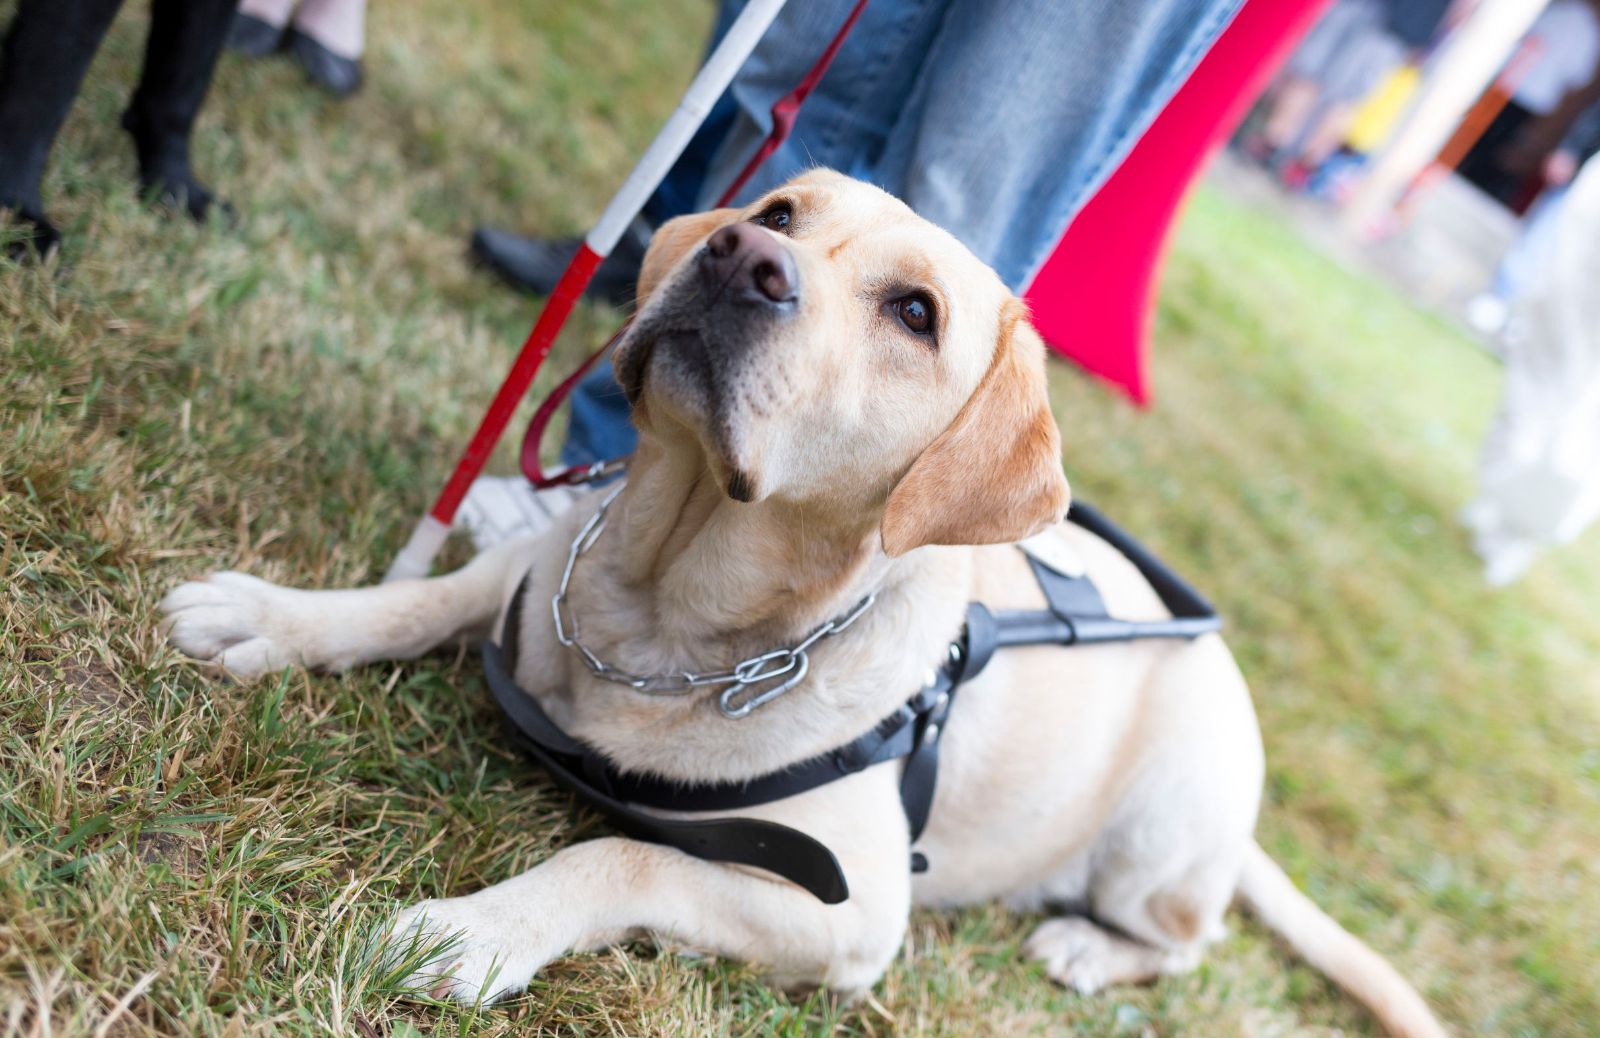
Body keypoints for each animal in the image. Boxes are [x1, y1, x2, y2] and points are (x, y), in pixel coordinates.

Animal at [162, 171, 1452, 1036]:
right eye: (783, 214)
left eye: (916, 313)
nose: (739, 255)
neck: (672, 615)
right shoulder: (541, 569)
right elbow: (417, 599)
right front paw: (273, 617)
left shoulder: (851, 914)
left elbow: (618, 860)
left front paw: (470, 933)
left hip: (1157, 846)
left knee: (1186, 941)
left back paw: (1089, 947)